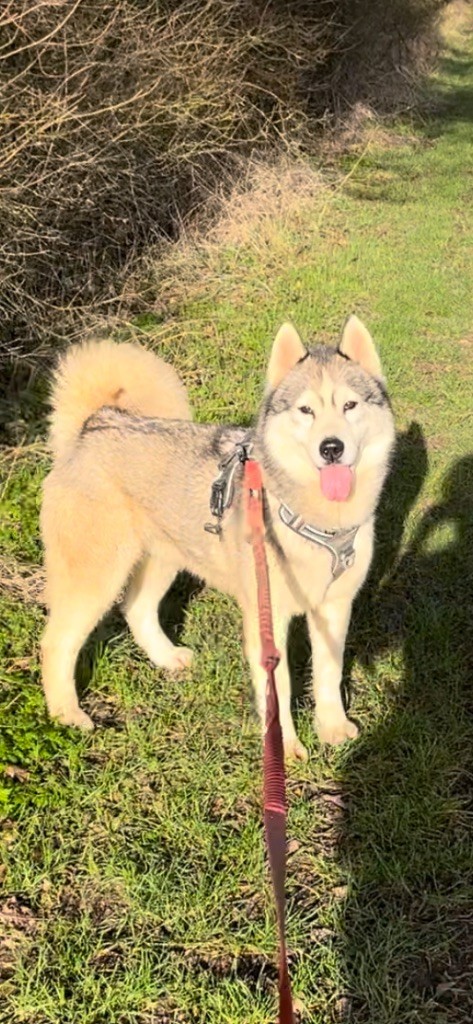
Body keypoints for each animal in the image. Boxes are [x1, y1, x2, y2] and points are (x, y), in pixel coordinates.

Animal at [41, 319, 395, 761]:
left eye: (350, 405)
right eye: (306, 410)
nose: (332, 448)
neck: (317, 522)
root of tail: (96, 423)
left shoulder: (334, 606)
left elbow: (329, 673)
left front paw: (332, 728)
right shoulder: (267, 619)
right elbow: (278, 690)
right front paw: (286, 747)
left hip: (165, 559)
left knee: (136, 608)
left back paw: (166, 658)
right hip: (96, 577)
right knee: (57, 643)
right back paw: (66, 715)